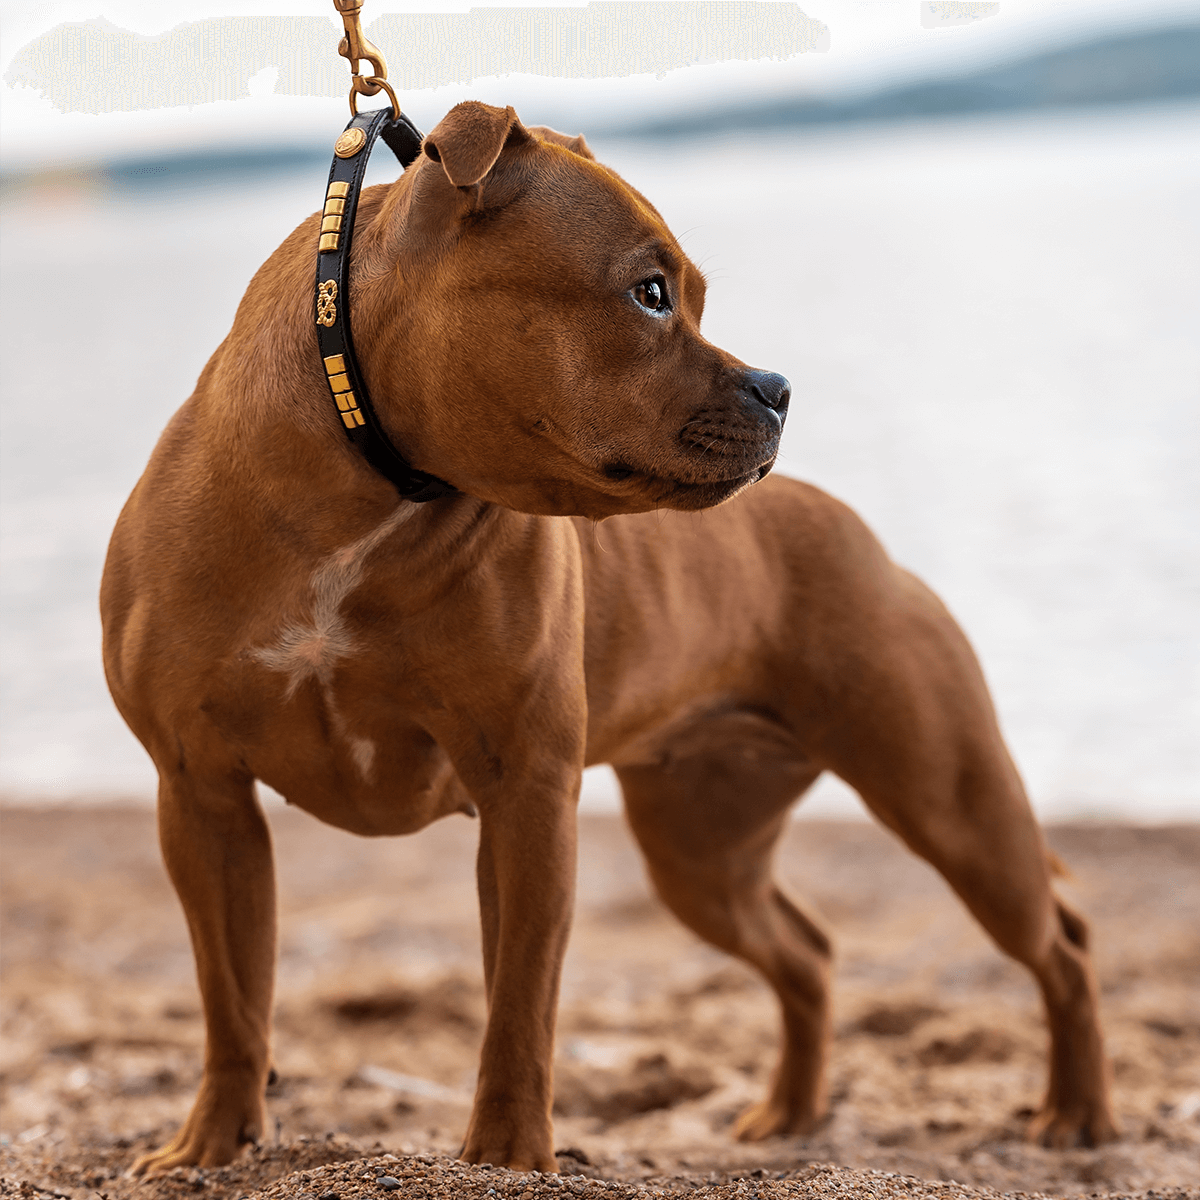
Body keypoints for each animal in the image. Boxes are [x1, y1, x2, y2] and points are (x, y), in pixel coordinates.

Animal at [100, 100, 1113, 1171]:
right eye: (652, 294)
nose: (780, 387)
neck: (367, 491)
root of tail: (857, 530)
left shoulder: (527, 792)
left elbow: (519, 1002)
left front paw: (507, 1155)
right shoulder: (202, 795)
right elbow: (231, 996)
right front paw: (211, 1144)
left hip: (952, 806)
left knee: (1061, 941)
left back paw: (1077, 1113)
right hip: (702, 851)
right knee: (806, 951)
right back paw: (791, 1115)